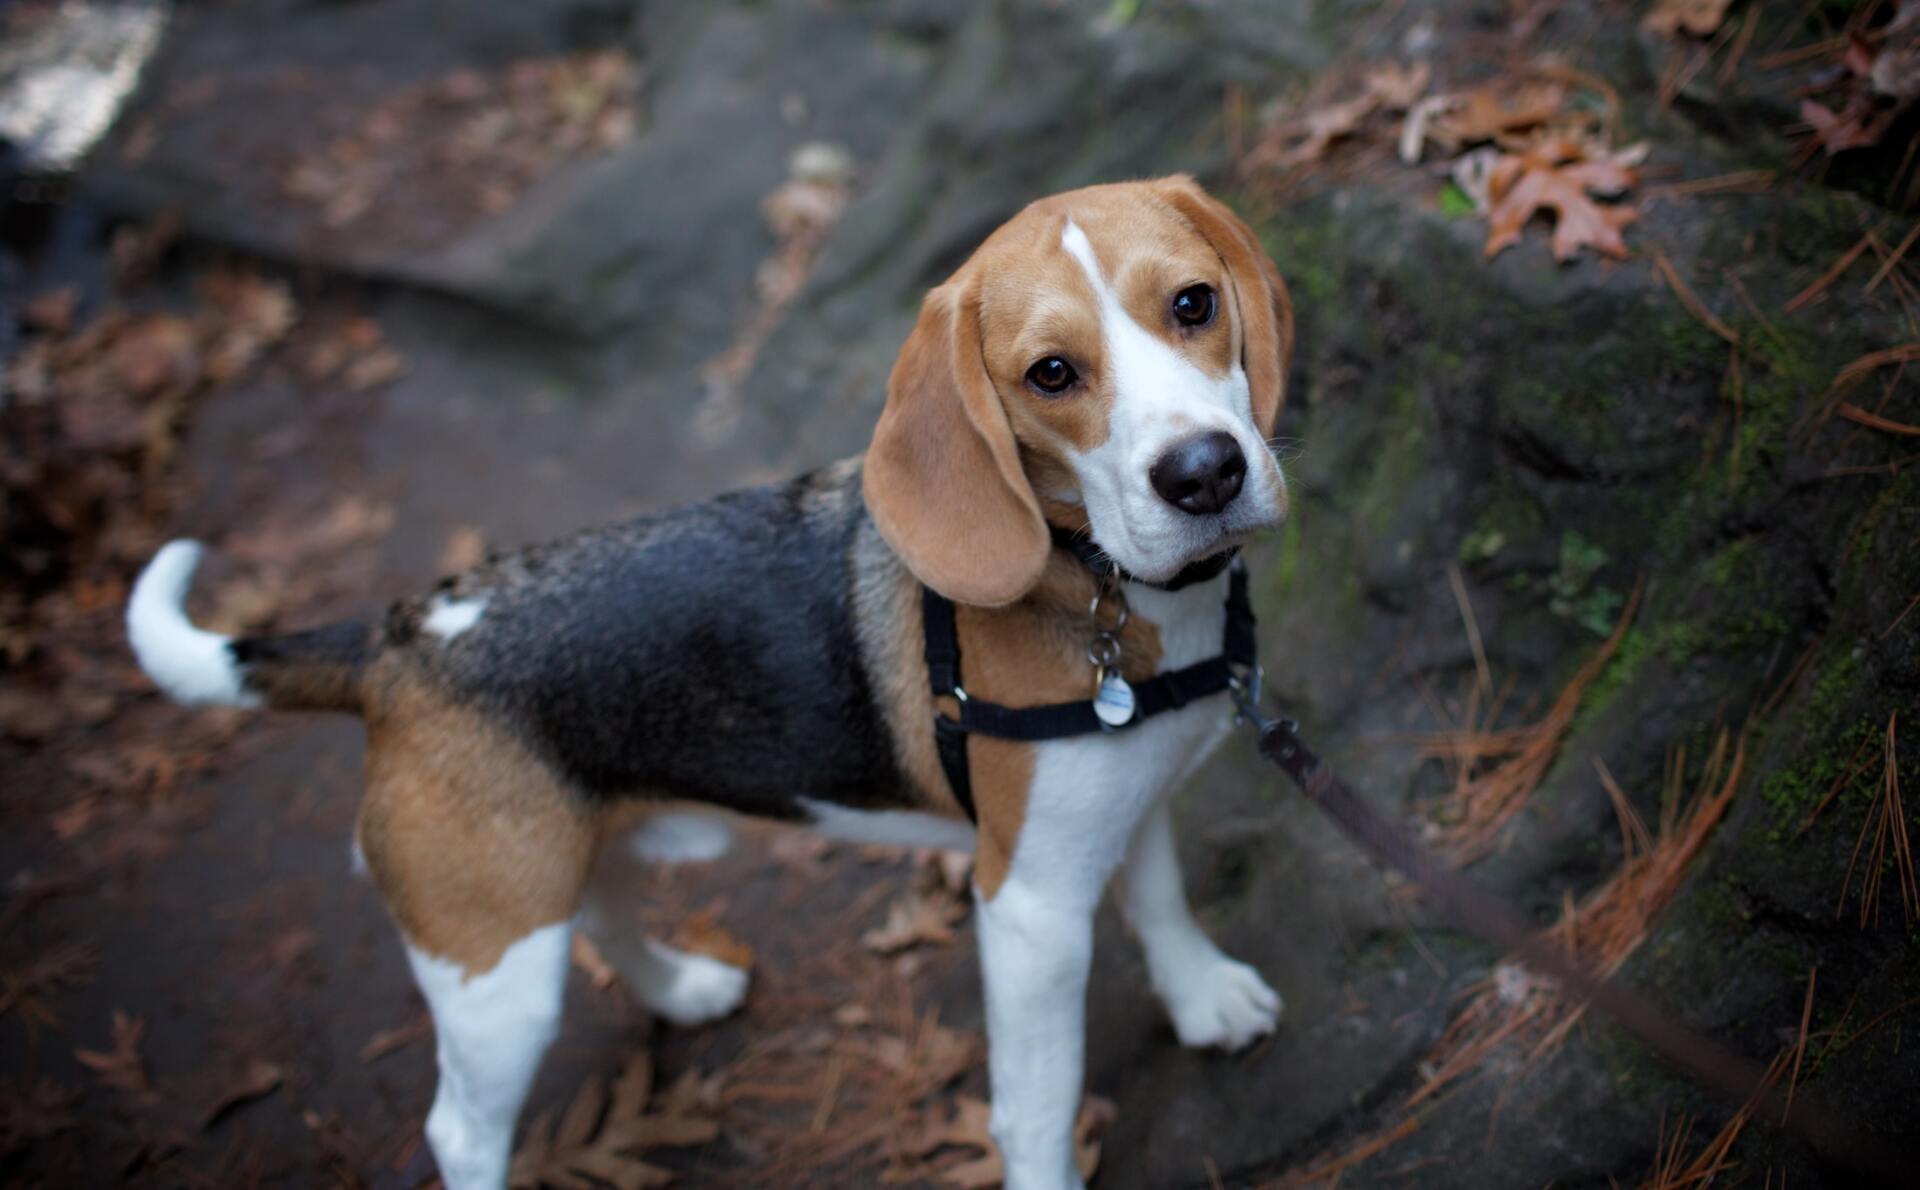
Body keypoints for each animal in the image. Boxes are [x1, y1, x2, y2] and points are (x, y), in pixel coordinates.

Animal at [131, 176, 1290, 1190]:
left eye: (1194, 303)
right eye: (1051, 373)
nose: (1204, 474)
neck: (1097, 580)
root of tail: (397, 638)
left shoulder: (1125, 800)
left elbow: (1161, 898)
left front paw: (1202, 998)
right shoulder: (1031, 905)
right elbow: (1041, 1102)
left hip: (561, 856)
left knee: (602, 912)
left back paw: (683, 988)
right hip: (493, 968)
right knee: (458, 1128)